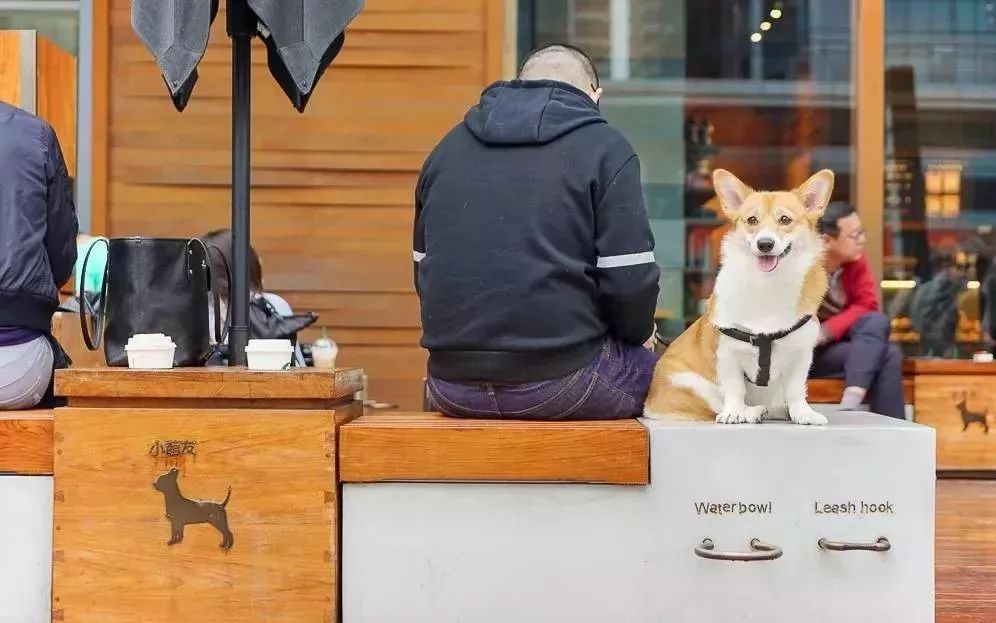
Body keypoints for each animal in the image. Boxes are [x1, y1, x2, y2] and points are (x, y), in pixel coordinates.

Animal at [644, 168, 832, 426]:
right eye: (752, 220)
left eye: (785, 220)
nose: (765, 244)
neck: (768, 287)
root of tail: (649, 403)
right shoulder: (727, 354)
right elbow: (734, 390)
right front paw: (734, 412)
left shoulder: (801, 354)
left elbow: (796, 390)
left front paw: (803, 413)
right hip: (690, 383)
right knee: (716, 403)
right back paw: (750, 412)